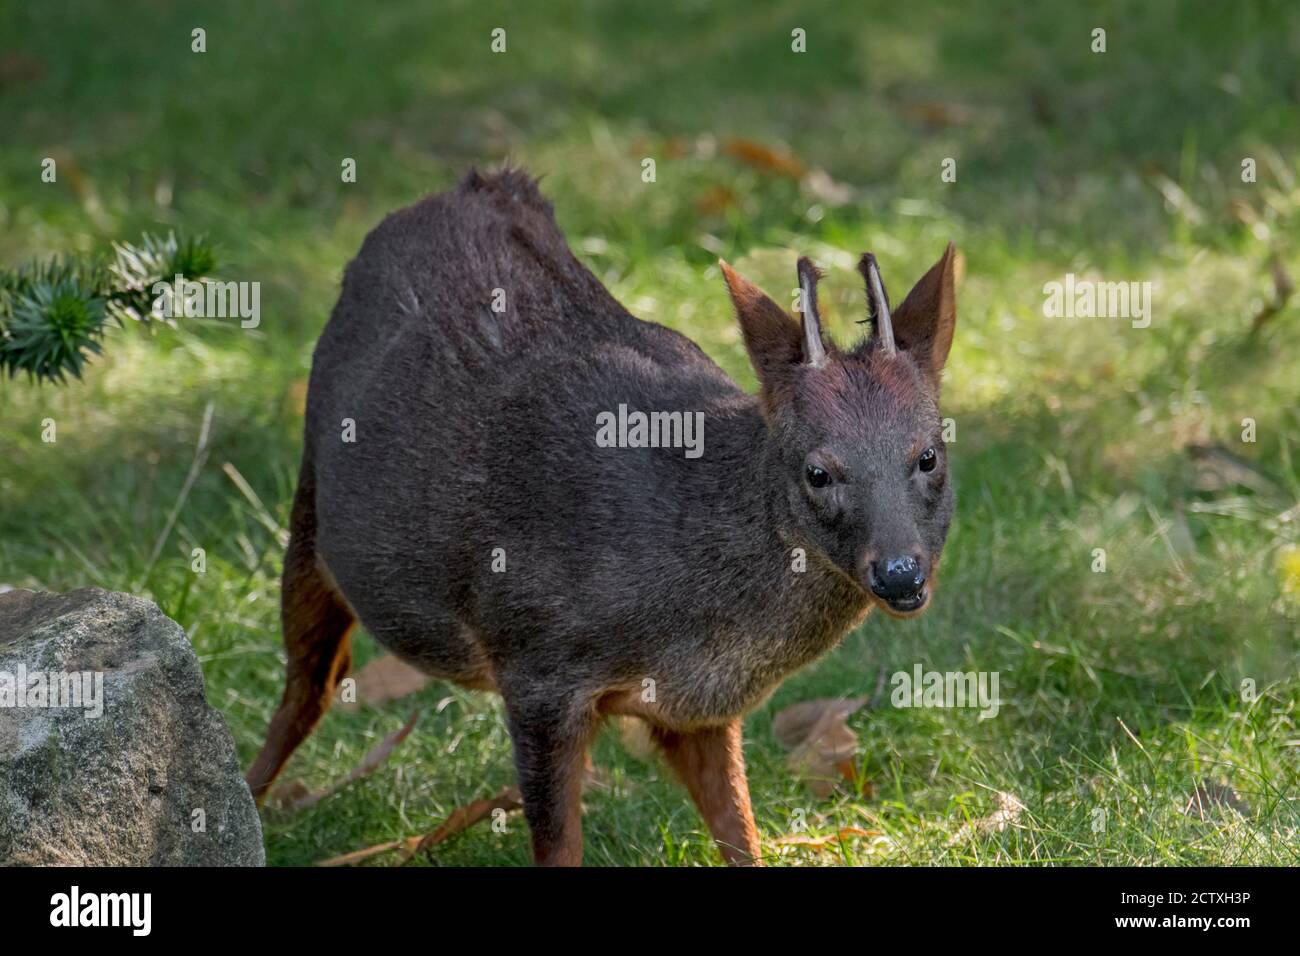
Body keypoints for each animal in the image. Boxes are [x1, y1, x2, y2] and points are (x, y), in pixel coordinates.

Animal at [245, 168, 958, 866]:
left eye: (928, 454)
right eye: (818, 471)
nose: (900, 573)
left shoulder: (696, 710)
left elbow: (741, 834)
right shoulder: (534, 663)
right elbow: (558, 846)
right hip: (309, 510)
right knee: (308, 687)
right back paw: (249, 798)